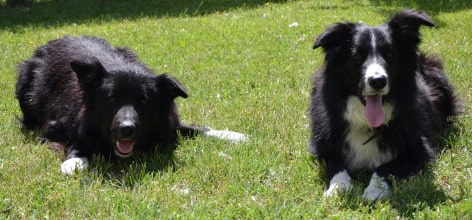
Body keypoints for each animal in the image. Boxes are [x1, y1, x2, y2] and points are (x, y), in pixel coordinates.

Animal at [14, 35, 247, 174]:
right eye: (111, 98)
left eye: (144, 100)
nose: (127, 129)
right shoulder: (55, 127)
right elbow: (73, 141)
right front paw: (75, 161)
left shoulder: (170, 122)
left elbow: (195, 128)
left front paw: (230, 134)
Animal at [308, 9, 460, 200]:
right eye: (357, 55)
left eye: (390, 54)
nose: (378, 81)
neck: (366, 123)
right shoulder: (322, 144)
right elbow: (336, 164)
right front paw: (337, 188)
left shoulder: (419, 150)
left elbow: (385, 168)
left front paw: (374, 190)